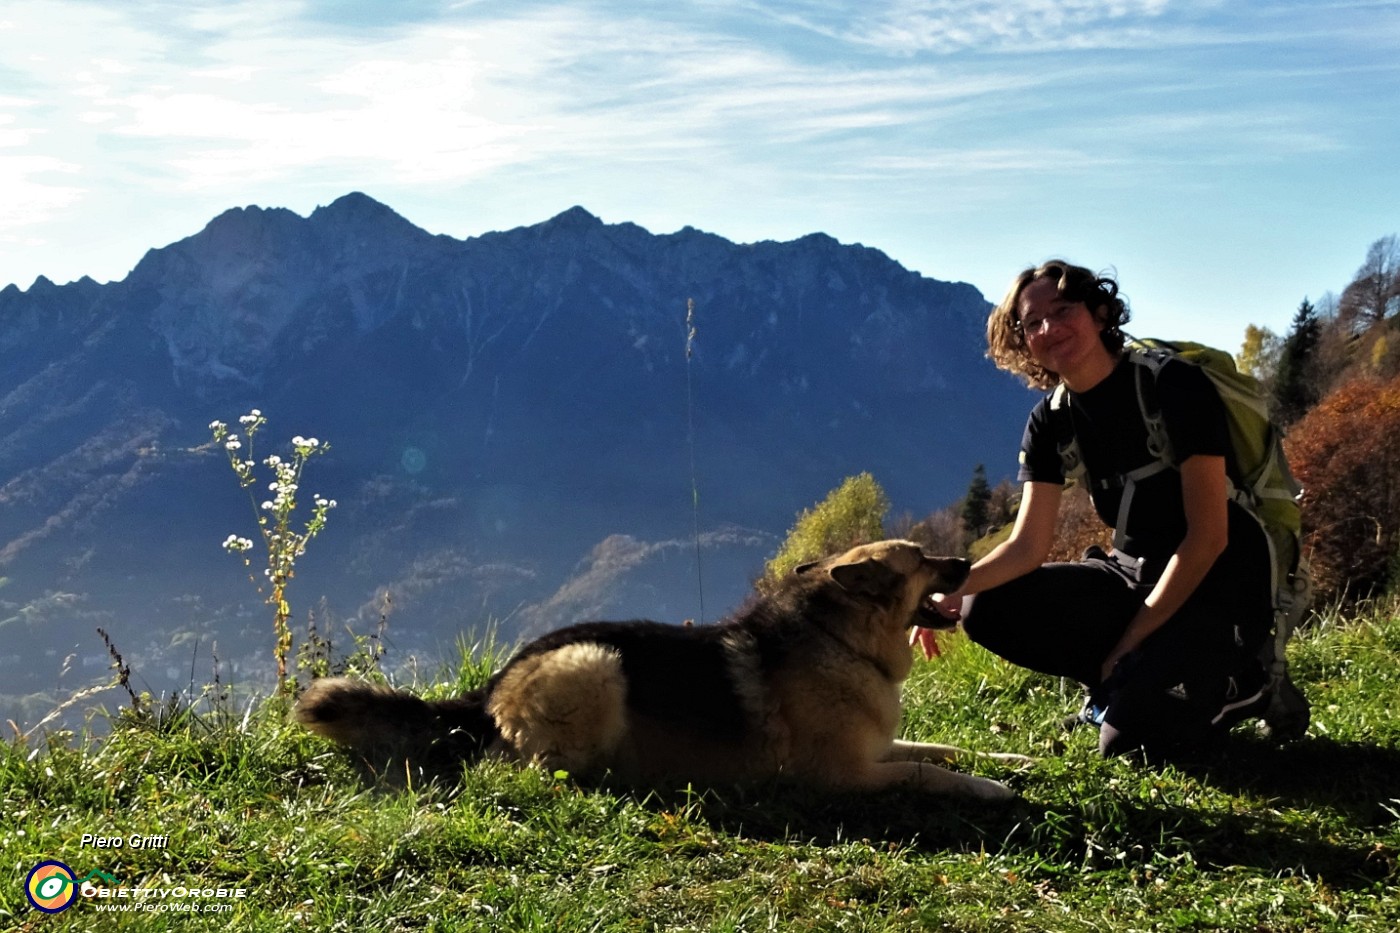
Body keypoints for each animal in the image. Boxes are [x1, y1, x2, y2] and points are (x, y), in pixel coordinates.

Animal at [298, 540, 1030, 795]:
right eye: (924, 559)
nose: (968, 563)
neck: (840, 638)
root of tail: (492, 686)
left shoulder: (881, 745)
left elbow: (945, 746)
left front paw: (1016, 759)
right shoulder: (848, 774)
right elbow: (930, 771)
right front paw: (992, 789)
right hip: (597, 665)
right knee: (533, 766)